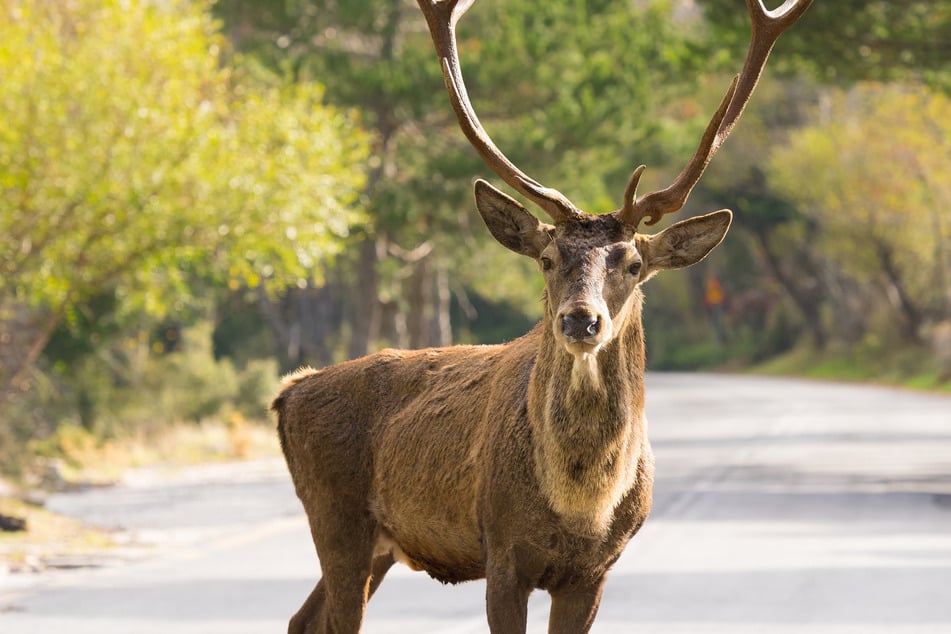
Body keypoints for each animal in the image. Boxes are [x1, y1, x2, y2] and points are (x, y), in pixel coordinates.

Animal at [272, 2, 816, 628]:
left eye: (634, 264)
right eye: (549, 258)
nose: (581, 320)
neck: (581, 509)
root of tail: (288, 394)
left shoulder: (594, 571)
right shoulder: (503, 556)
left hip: (380, 543)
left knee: (302, 619)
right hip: (335, 518)